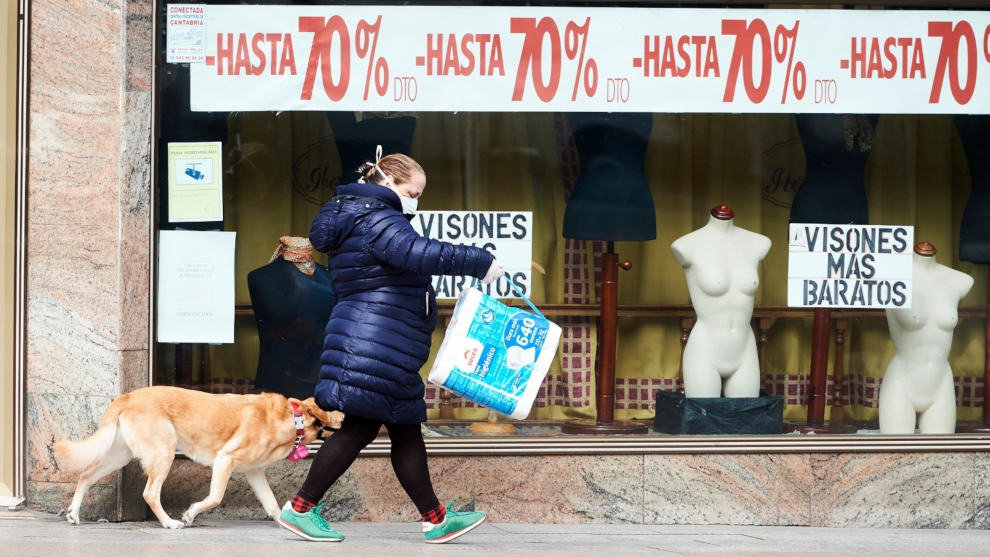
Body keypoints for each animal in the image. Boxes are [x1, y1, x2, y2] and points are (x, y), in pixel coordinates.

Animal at [54, 384, 342, 528]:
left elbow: (271, 505)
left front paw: (288, 522)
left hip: (119, 455)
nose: (345, 415)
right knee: (150, 493)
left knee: (86, 475)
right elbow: (215, 497)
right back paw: (169, 523)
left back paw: (74, 514)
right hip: (164, 451)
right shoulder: (225, 460)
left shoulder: (254, 471)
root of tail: (127, 396)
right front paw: (190, 515)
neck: (291, 419)